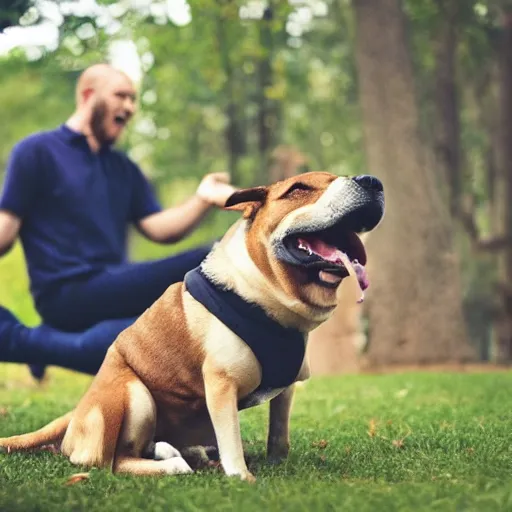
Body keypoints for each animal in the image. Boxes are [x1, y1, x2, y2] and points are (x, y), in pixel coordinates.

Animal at [0, 171, 384, 480]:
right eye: (299, 188)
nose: (370, 180)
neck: (268, 298)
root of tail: (76, 413)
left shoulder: (285, 389)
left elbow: (279, 435)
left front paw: (277, 463)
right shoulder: (221, 384)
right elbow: (231, 440)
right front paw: (242, 477)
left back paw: (177, 452)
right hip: (134, 394)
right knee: (113, 461)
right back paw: (171, 462)